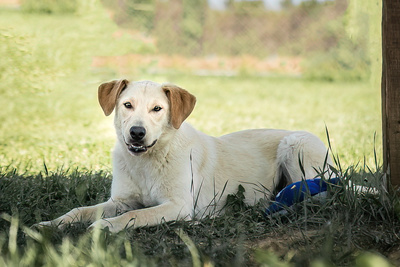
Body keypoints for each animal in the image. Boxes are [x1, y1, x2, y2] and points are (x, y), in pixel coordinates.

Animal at [36, 79, 332, 232]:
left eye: (157, 109)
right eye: (127, 105)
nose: (136, 133)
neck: (148, 161)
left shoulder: (177, 206)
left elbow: (136, 216)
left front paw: (104, 226)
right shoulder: (120, 200)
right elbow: (81, 210)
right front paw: (51, 223)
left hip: (295, 145)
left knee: (317, 191)